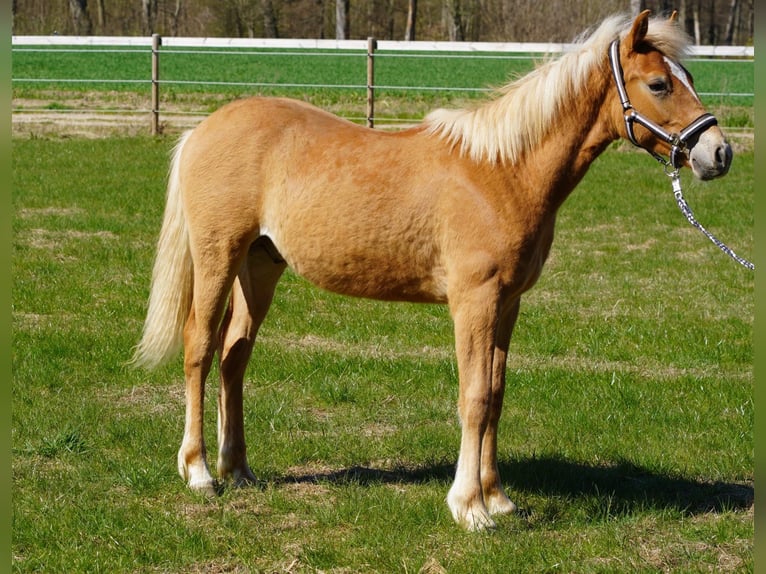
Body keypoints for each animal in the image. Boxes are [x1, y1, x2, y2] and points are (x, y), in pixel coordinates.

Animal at [133, 10, 732, 531]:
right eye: (658, 84)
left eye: (689, 77)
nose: (719, 153)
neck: (502, 172)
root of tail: (201, 130)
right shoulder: (474, 301)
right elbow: (475, 397)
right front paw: (470, 509)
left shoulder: (508, 303)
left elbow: (496, 394)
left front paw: (498, 498)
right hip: (217, 257)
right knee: (199, 347)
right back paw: (200, 472)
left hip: (259, 267)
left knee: (234, 357)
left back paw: (238, 469)